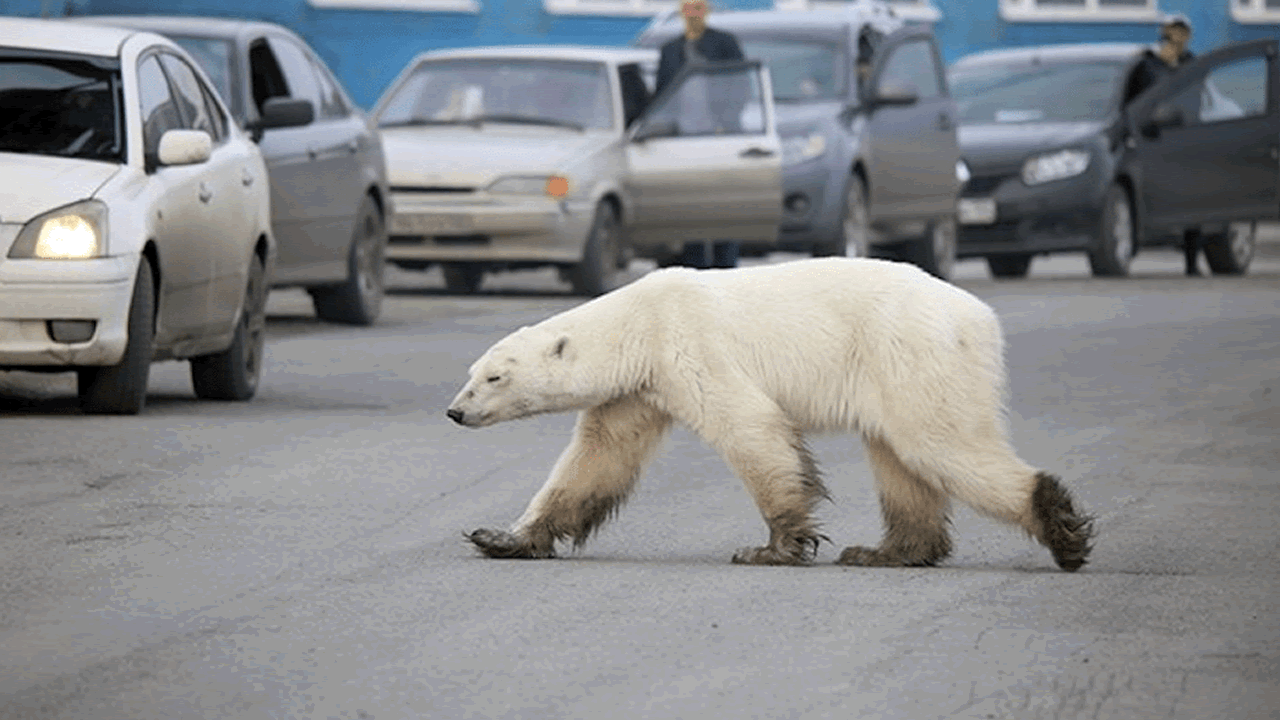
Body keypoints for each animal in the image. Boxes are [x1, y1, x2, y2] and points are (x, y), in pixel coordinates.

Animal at [445, 256, 1095, 566]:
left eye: (494, 377)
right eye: (472, 372)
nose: (454, 412)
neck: (639, 322)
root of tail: (981, 317)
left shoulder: (691, 346)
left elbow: (751, 428)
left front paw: (772, 548)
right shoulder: (637, 391)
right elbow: (596, 460)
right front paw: (501, 537)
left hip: (910, 353)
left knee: (939, 444)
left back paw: (1061, 529)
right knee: (899, 459)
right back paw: (886, 552)